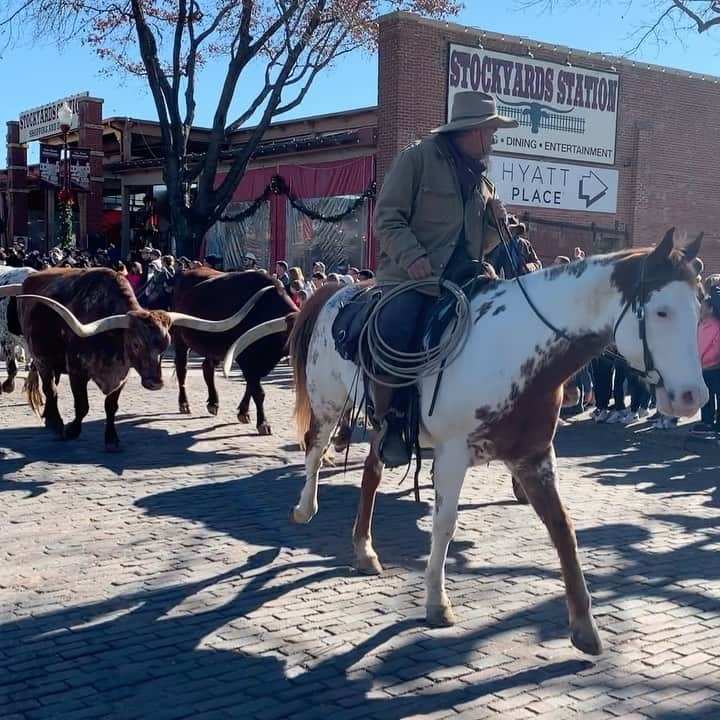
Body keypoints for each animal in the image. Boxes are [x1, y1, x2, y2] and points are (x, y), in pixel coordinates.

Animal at [239, 229, 704, 652]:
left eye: (699, 309)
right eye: (662, 312)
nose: (693, 397)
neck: (515, 351)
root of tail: (340, 291)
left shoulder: (535, 458)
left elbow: (563, 529)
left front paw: (584, 626)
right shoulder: (452, 456)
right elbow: (444, 525)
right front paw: (436, 601)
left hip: (383, 427)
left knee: (370, 472)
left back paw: (364, 549)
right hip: (329, 402)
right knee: (314, 448)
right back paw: (305, 508)